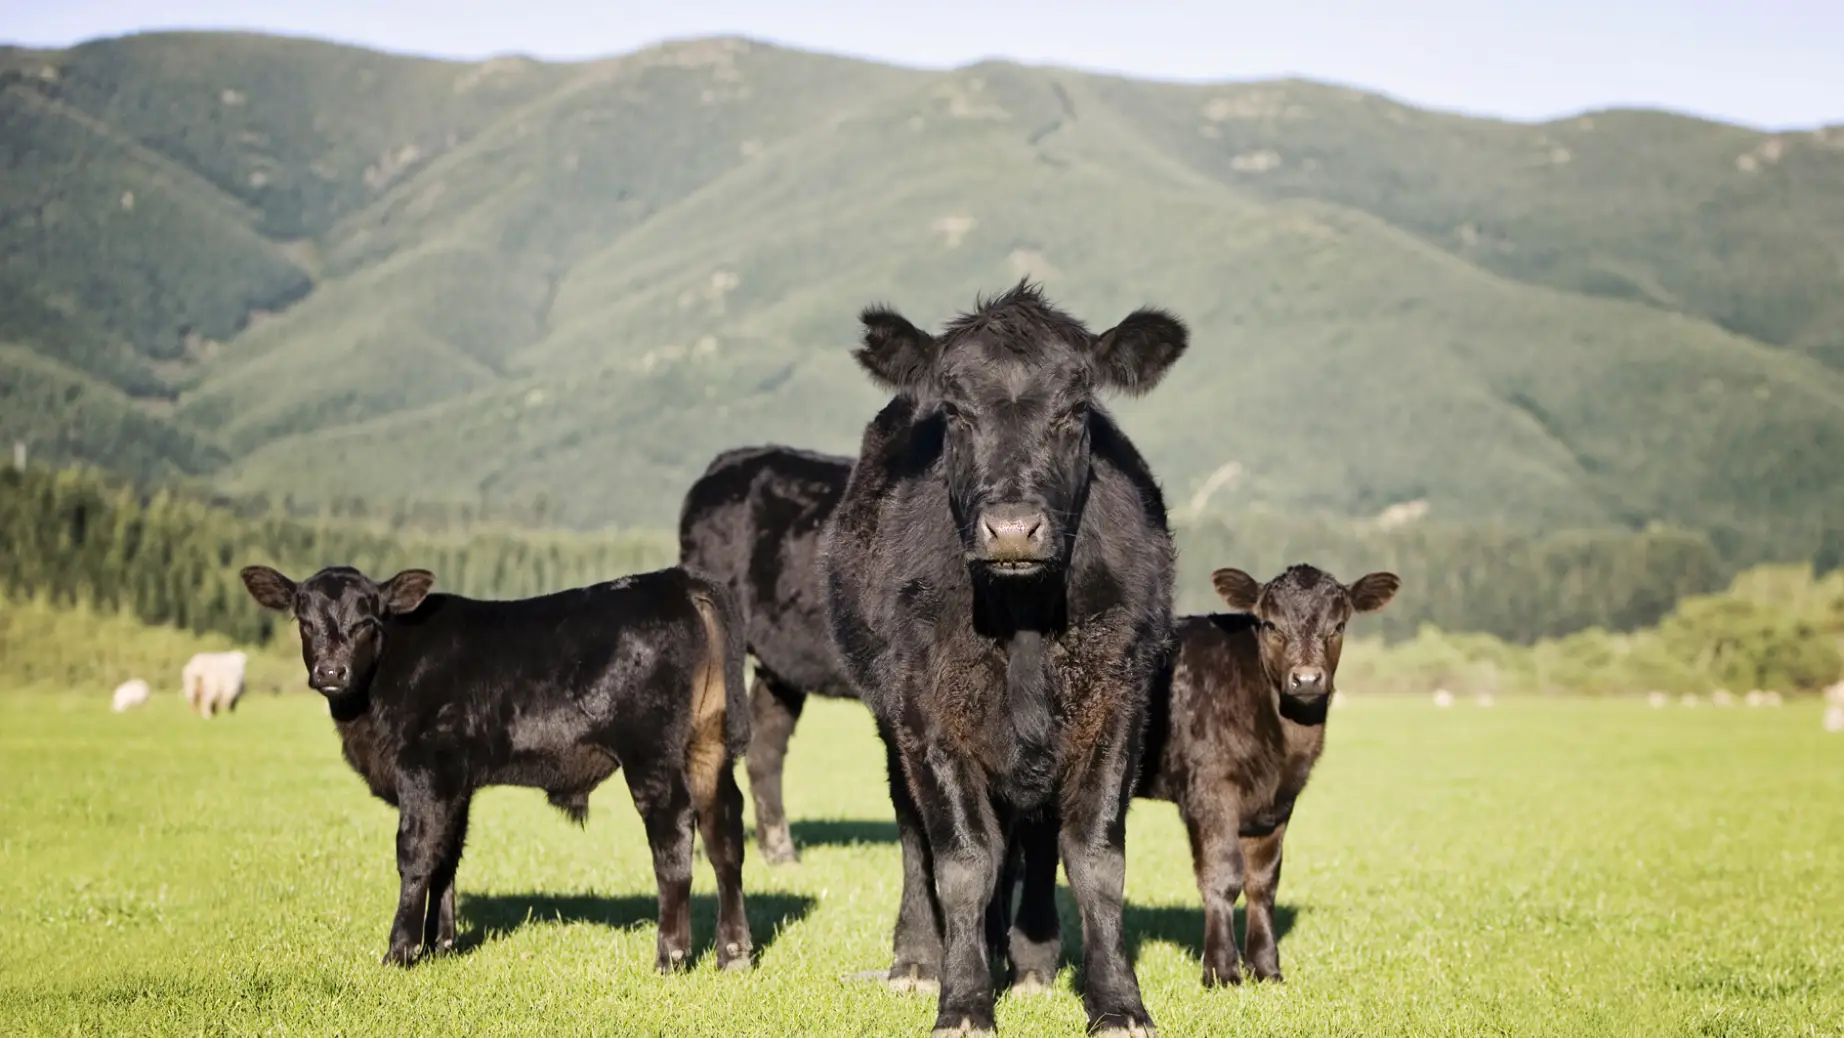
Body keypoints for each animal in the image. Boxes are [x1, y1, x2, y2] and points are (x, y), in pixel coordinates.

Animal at [237, 563, 755, 972]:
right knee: (724, 837)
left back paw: (671, 955)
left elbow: (416, 854)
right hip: (708, 746)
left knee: (674, 838)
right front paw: (441, 944)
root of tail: (675, 579)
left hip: (651, 754)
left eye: (366, 621)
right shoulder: (455, 782)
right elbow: (446, 855)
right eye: (304, 621)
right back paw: (734, 953)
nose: (330, 672)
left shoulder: (424, 769)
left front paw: (401, 950)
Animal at [821, 280, 1189, 1037]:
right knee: (918, 834)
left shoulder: (1117, 704)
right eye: (957, 413)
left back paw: (1031, 960)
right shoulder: (929, 712)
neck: (1021, 621)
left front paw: (1118, 1002)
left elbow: (1096, 857)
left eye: (1075, 409)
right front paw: (962, 1000)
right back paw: (918, 959)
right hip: (892, 722)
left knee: (1034, 836)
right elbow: (963, 860)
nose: (1013, 529)